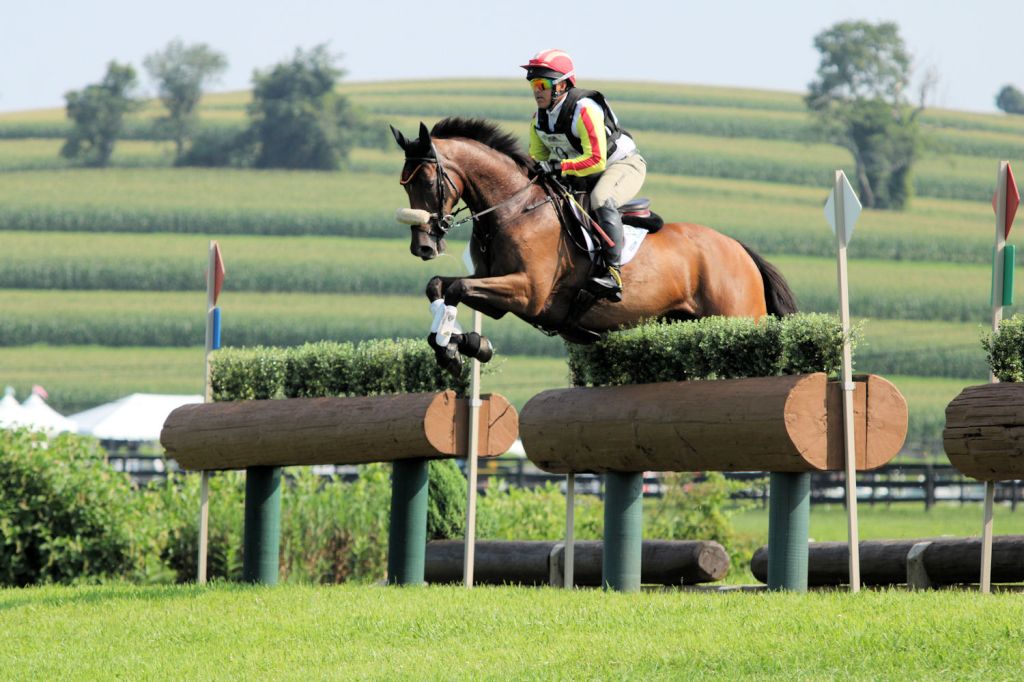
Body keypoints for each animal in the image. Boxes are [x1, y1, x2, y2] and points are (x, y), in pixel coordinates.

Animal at [391, 117, 798, 372]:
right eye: (403, 185)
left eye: (427, 181)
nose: (423, 248)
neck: (512, 208)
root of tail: (740, 250)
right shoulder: (497, 296)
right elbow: (440, 286)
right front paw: (458, 346)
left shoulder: (527, 291)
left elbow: (456, 287)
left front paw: (461, 347)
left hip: (739, 317)